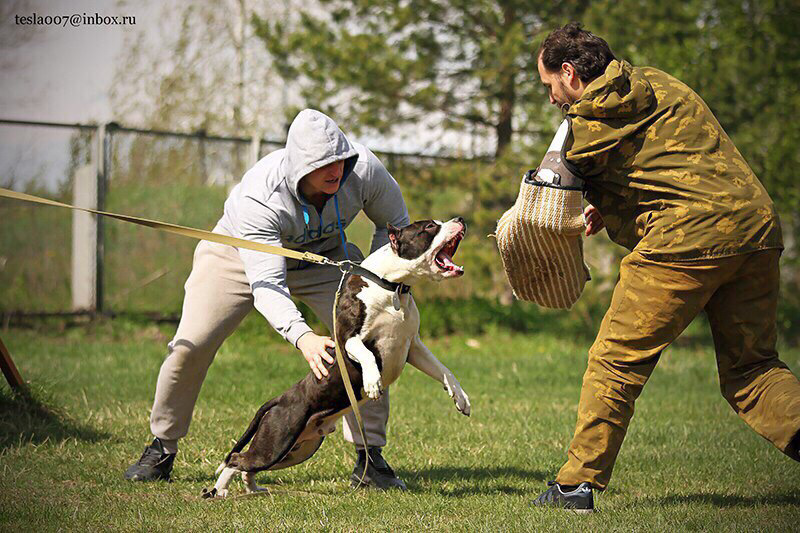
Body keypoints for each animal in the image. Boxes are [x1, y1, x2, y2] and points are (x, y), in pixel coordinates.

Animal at [203, 215, 472, 494]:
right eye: (429, 227)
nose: (460, 219)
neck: (391, 287)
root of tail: (280, 399)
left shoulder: (413, 346)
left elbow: (442, 369)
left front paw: (460, 397)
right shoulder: (348, 340)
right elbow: (366, 355)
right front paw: (372, 382)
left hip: (297, 450)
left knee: (249, 465)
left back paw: (253, 488)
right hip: (277, 440)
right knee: (237, 459)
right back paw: (220, 491)